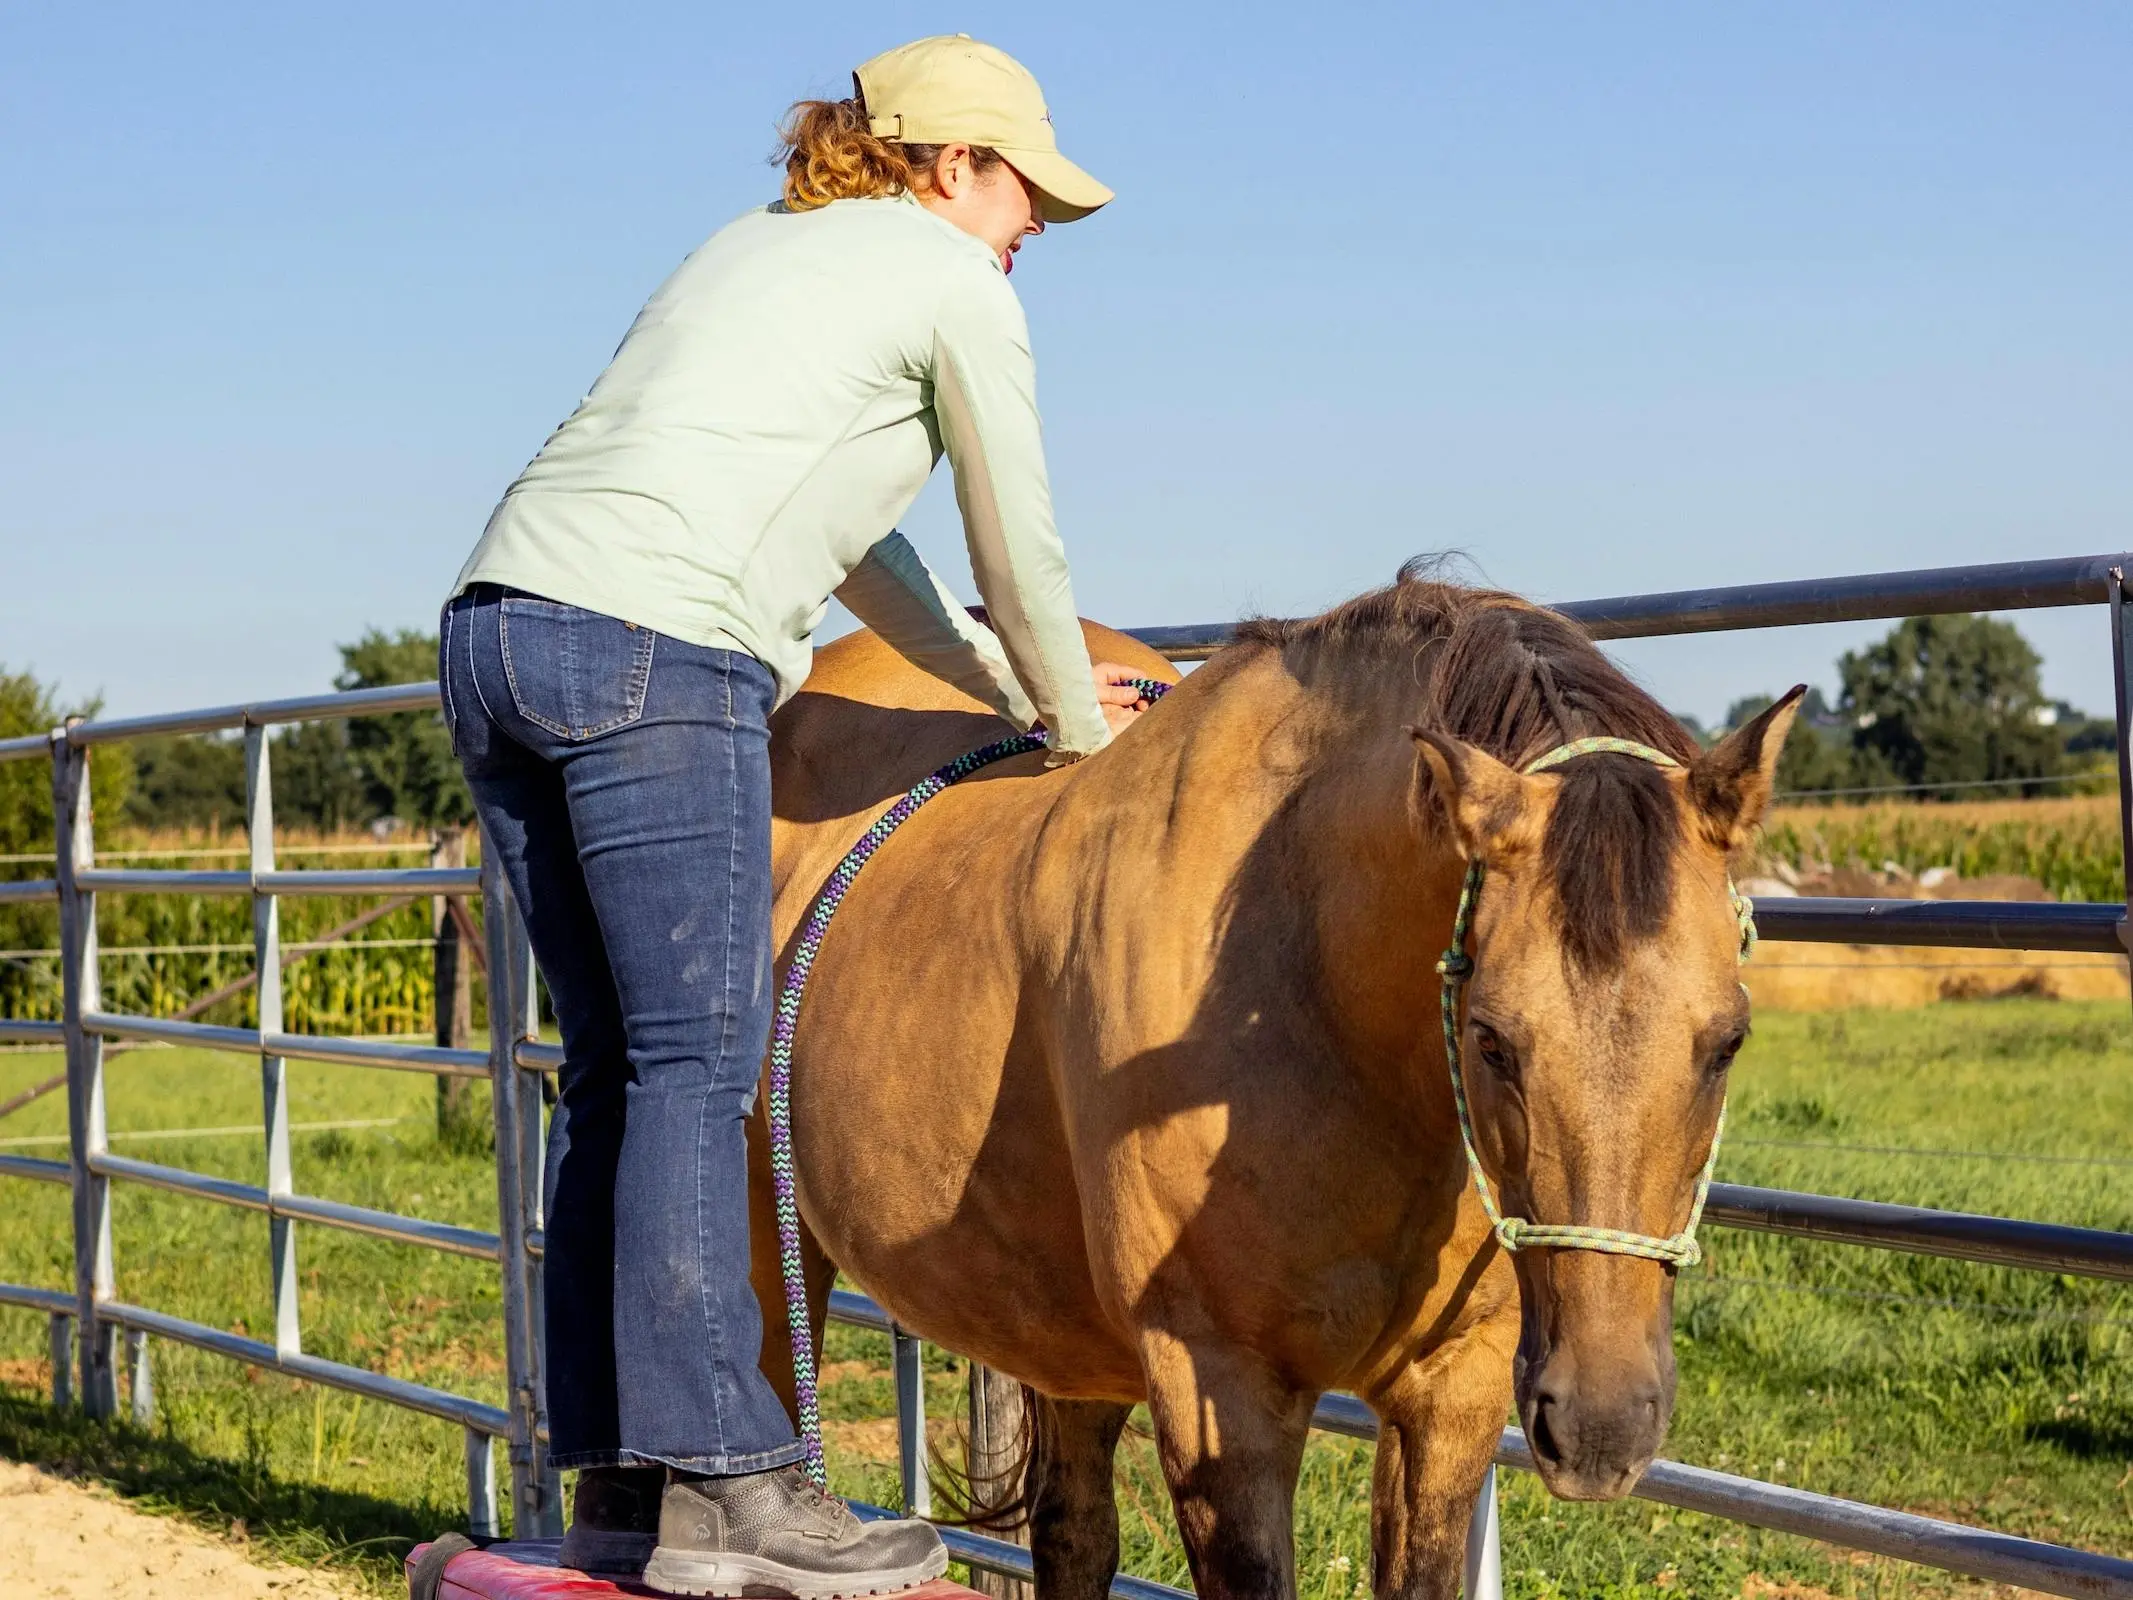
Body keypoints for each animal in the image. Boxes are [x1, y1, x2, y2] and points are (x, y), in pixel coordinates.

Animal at [750, 571, 1800, 1600]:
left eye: (1728, 1041)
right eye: (1492, 1039)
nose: (1598, 1426)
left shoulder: (1452, 1390)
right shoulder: (1218, 1391)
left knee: (1071, 1532)